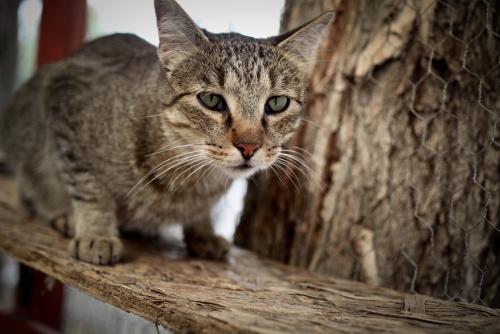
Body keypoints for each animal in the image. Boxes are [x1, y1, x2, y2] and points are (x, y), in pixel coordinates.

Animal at [1, 0, 334, 266]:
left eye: (277, 103)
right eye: (211, 100)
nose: (249, 147)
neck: (190, 182)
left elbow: (202, 213)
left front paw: (203, 232)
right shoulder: (65, 97)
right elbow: (90, 188)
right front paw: (96, 233)